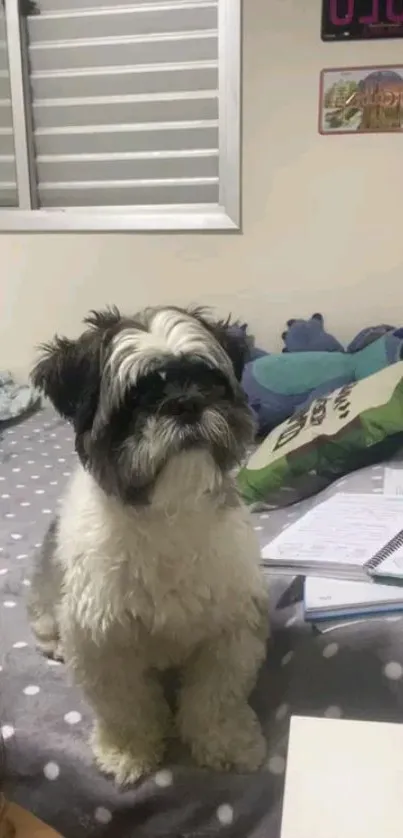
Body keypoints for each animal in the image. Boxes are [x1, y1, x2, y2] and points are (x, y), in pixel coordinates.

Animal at [27, 306, 268, 788]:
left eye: (207, 381)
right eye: (136, 397)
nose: (185, 404)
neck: (165, 513)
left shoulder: (230, 630)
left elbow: (217, 698)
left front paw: (227, 744)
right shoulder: (102, 643)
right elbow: (126, 707)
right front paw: (128, 751)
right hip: (46, 601)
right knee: (46, 628)